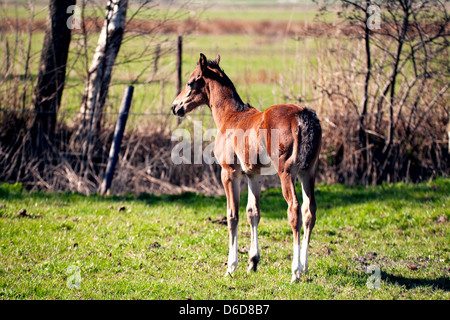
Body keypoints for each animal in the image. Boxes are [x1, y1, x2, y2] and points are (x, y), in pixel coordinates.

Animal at [171, 53, 322, 282]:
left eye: (190, 82)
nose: (175, 106)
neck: (231, 116)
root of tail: (303, 115)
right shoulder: (254, 175)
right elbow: (253, 213)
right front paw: (253, 262)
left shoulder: (229, 173)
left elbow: (232, 215)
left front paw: (231, 267)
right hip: (308, 171)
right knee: (309, 209)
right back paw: (304, 266)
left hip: (286, 172)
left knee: (294, 209)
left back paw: (295, 271)